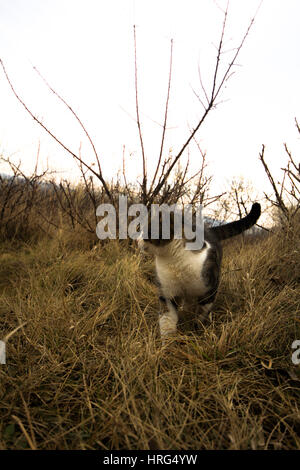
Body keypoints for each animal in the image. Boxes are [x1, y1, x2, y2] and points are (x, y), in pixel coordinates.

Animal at [138, 202, 260, 342]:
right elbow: (167, 320)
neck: (174, 260)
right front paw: (168, 344)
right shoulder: (168, 293)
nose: (137, 241)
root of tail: (209, 230)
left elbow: (201, 315)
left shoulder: (209, 291)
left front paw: (198, 331)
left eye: (144, 230)